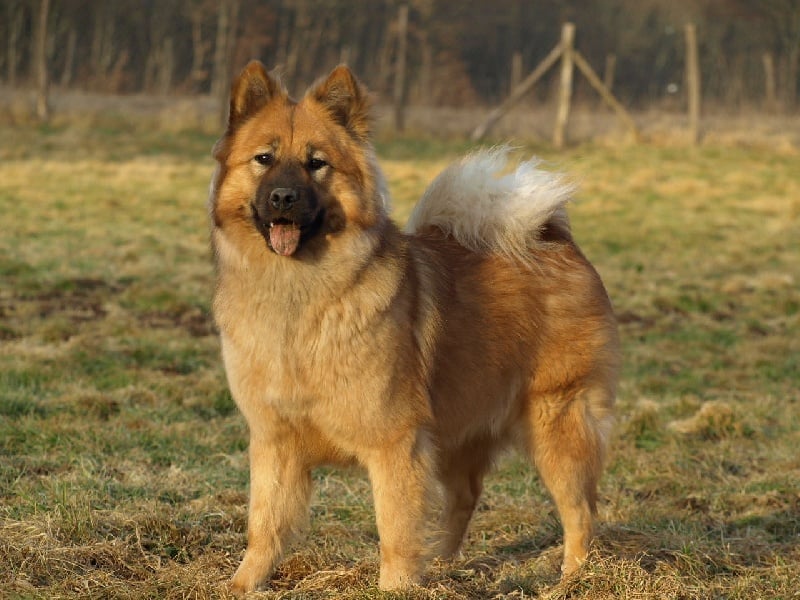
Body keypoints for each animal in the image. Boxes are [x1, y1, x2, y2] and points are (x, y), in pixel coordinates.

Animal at [208, 60, 620, 594]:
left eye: (316, 163)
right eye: (263, 159)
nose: (283, 197)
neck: (299, 297)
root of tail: (554, 238)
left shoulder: (394, 444)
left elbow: (396, 529)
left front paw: (397, 586)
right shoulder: (275, 441)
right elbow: (265, 524)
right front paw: (242, 584)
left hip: (557, 424)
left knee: (580, 512)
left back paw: (569, 581)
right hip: (459, 428)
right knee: (464, 498)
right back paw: (443, 568)